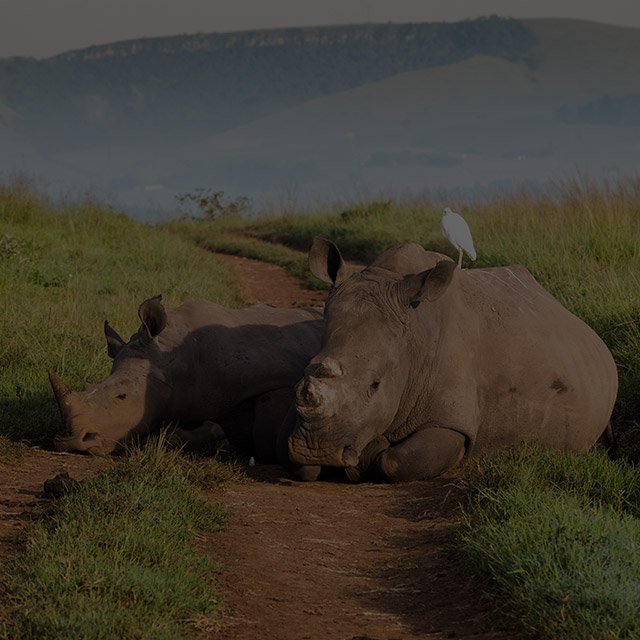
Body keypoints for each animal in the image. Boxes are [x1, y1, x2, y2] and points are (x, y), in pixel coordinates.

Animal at [282, 239, 620, 480]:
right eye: (301, 375)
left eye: (375, 385)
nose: (315, 450)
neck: (415, 336)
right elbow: (300, 468)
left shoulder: (453, 420)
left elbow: (395, 462)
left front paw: (369, 454)